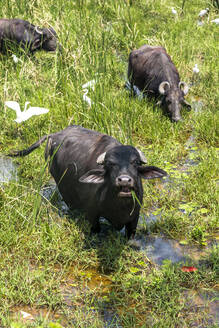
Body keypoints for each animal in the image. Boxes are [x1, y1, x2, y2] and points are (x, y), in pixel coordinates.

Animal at [7, 125, 167, 238]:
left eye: (135, 163)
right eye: (110, 164)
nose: (124, 180)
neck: (118, 205)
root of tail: (53, 135)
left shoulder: (134, 218)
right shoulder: (92, 213)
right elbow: (95, 228)